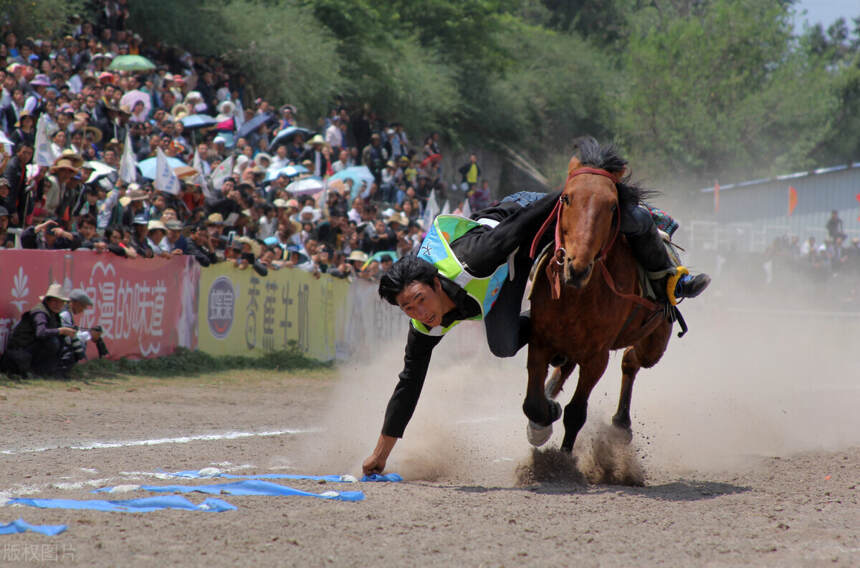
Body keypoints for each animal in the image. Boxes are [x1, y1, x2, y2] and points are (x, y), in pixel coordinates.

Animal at [524, 142, 672, 452]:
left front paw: (563, 457)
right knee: (567, 368)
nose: (577, 267)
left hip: (655, 340)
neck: (577, 297)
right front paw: (542, 421)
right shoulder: (540, 339)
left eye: (613, 206)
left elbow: (575, 413)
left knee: (631, 360)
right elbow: (533, 403)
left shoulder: (596, 357)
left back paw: (621, 422)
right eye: (566, 198)